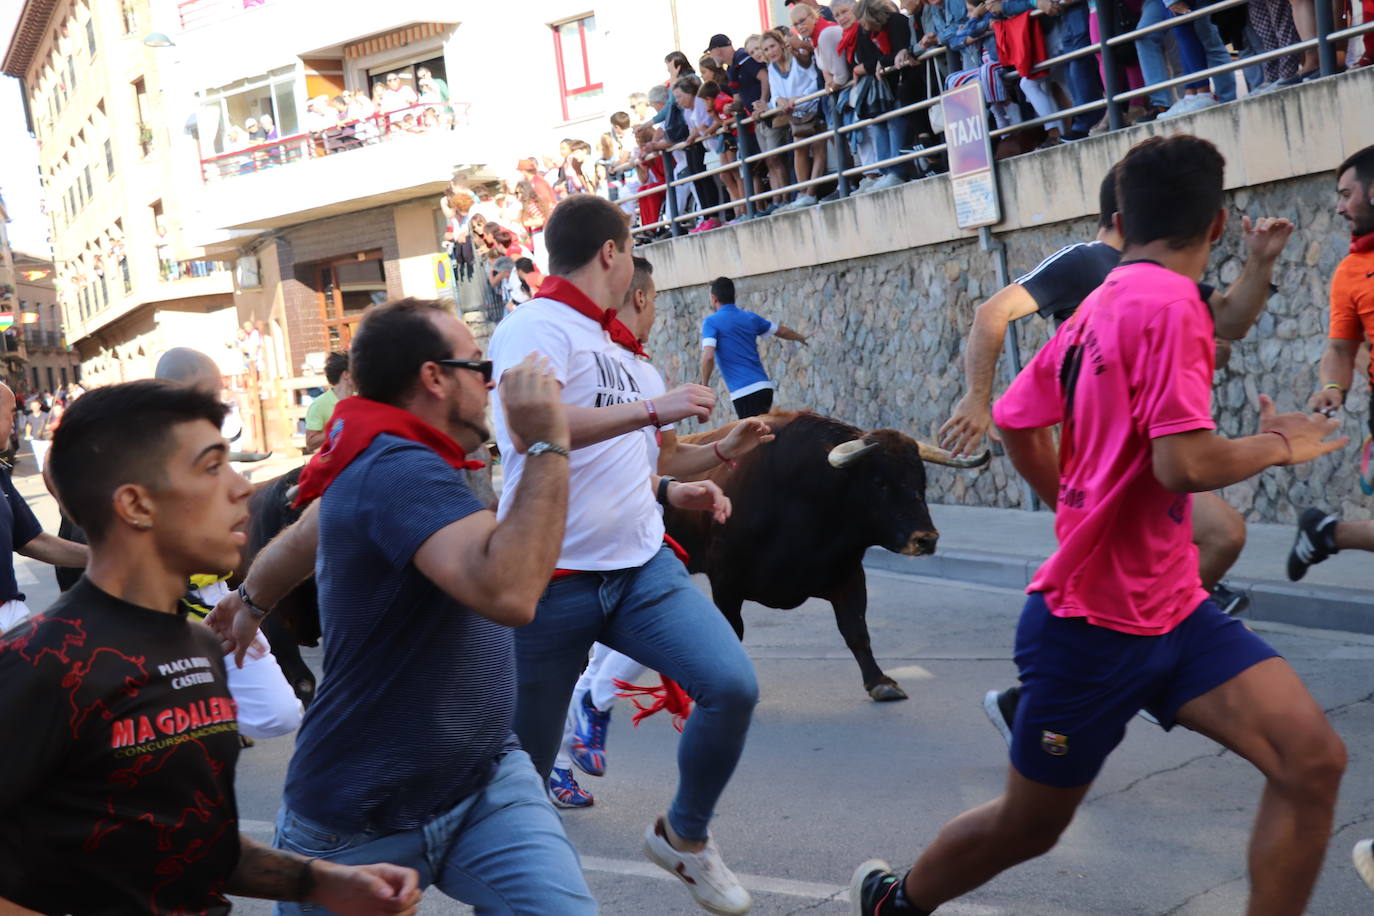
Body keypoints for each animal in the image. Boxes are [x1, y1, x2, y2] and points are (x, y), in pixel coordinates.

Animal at [665, 409, 989, 703]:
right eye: (880, 483)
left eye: (921, 481)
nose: (926, 539)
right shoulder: (725, 582)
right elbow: (733, 631)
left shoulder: (849, 573)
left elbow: (856, 630)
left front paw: (880, 682)